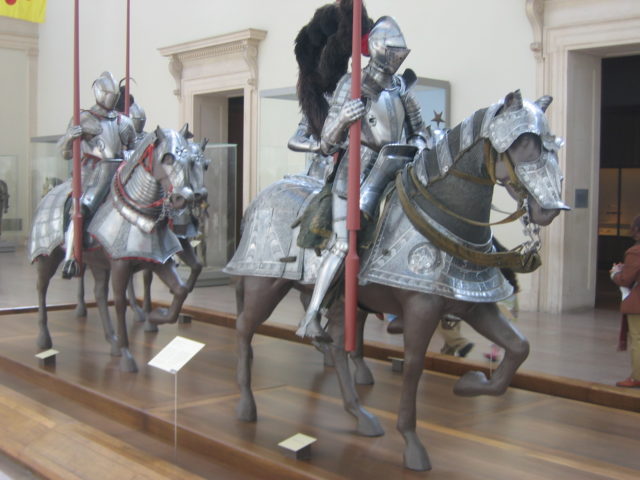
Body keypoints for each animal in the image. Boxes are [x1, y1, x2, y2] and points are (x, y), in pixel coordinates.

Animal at [27, 126, 196, 372]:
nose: (183, 198)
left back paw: (112, 341)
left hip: (97, 263)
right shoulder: (119, 265)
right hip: (47, 255)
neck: (138, 212)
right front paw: (127, 356)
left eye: (191, 161)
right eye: (167, 158)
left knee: (98, 294)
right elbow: (119, 303)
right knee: (41, 288)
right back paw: (44, 338)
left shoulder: (156, 261)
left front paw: (156, 316)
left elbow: (181, 290)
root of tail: (49, 193)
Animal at [226, 91, 568, 472]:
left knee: (334, 345)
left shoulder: (473, 305)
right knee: (244, 328)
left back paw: (359, 414)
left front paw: (469, 384)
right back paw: (246, 404)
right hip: (265, 283)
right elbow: (414, 367)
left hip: (338, 298)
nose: (550, 209)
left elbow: (519, 347)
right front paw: (412, 444)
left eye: (552, 144)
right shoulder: (421, 308)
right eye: (522, 142)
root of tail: (261, 197)